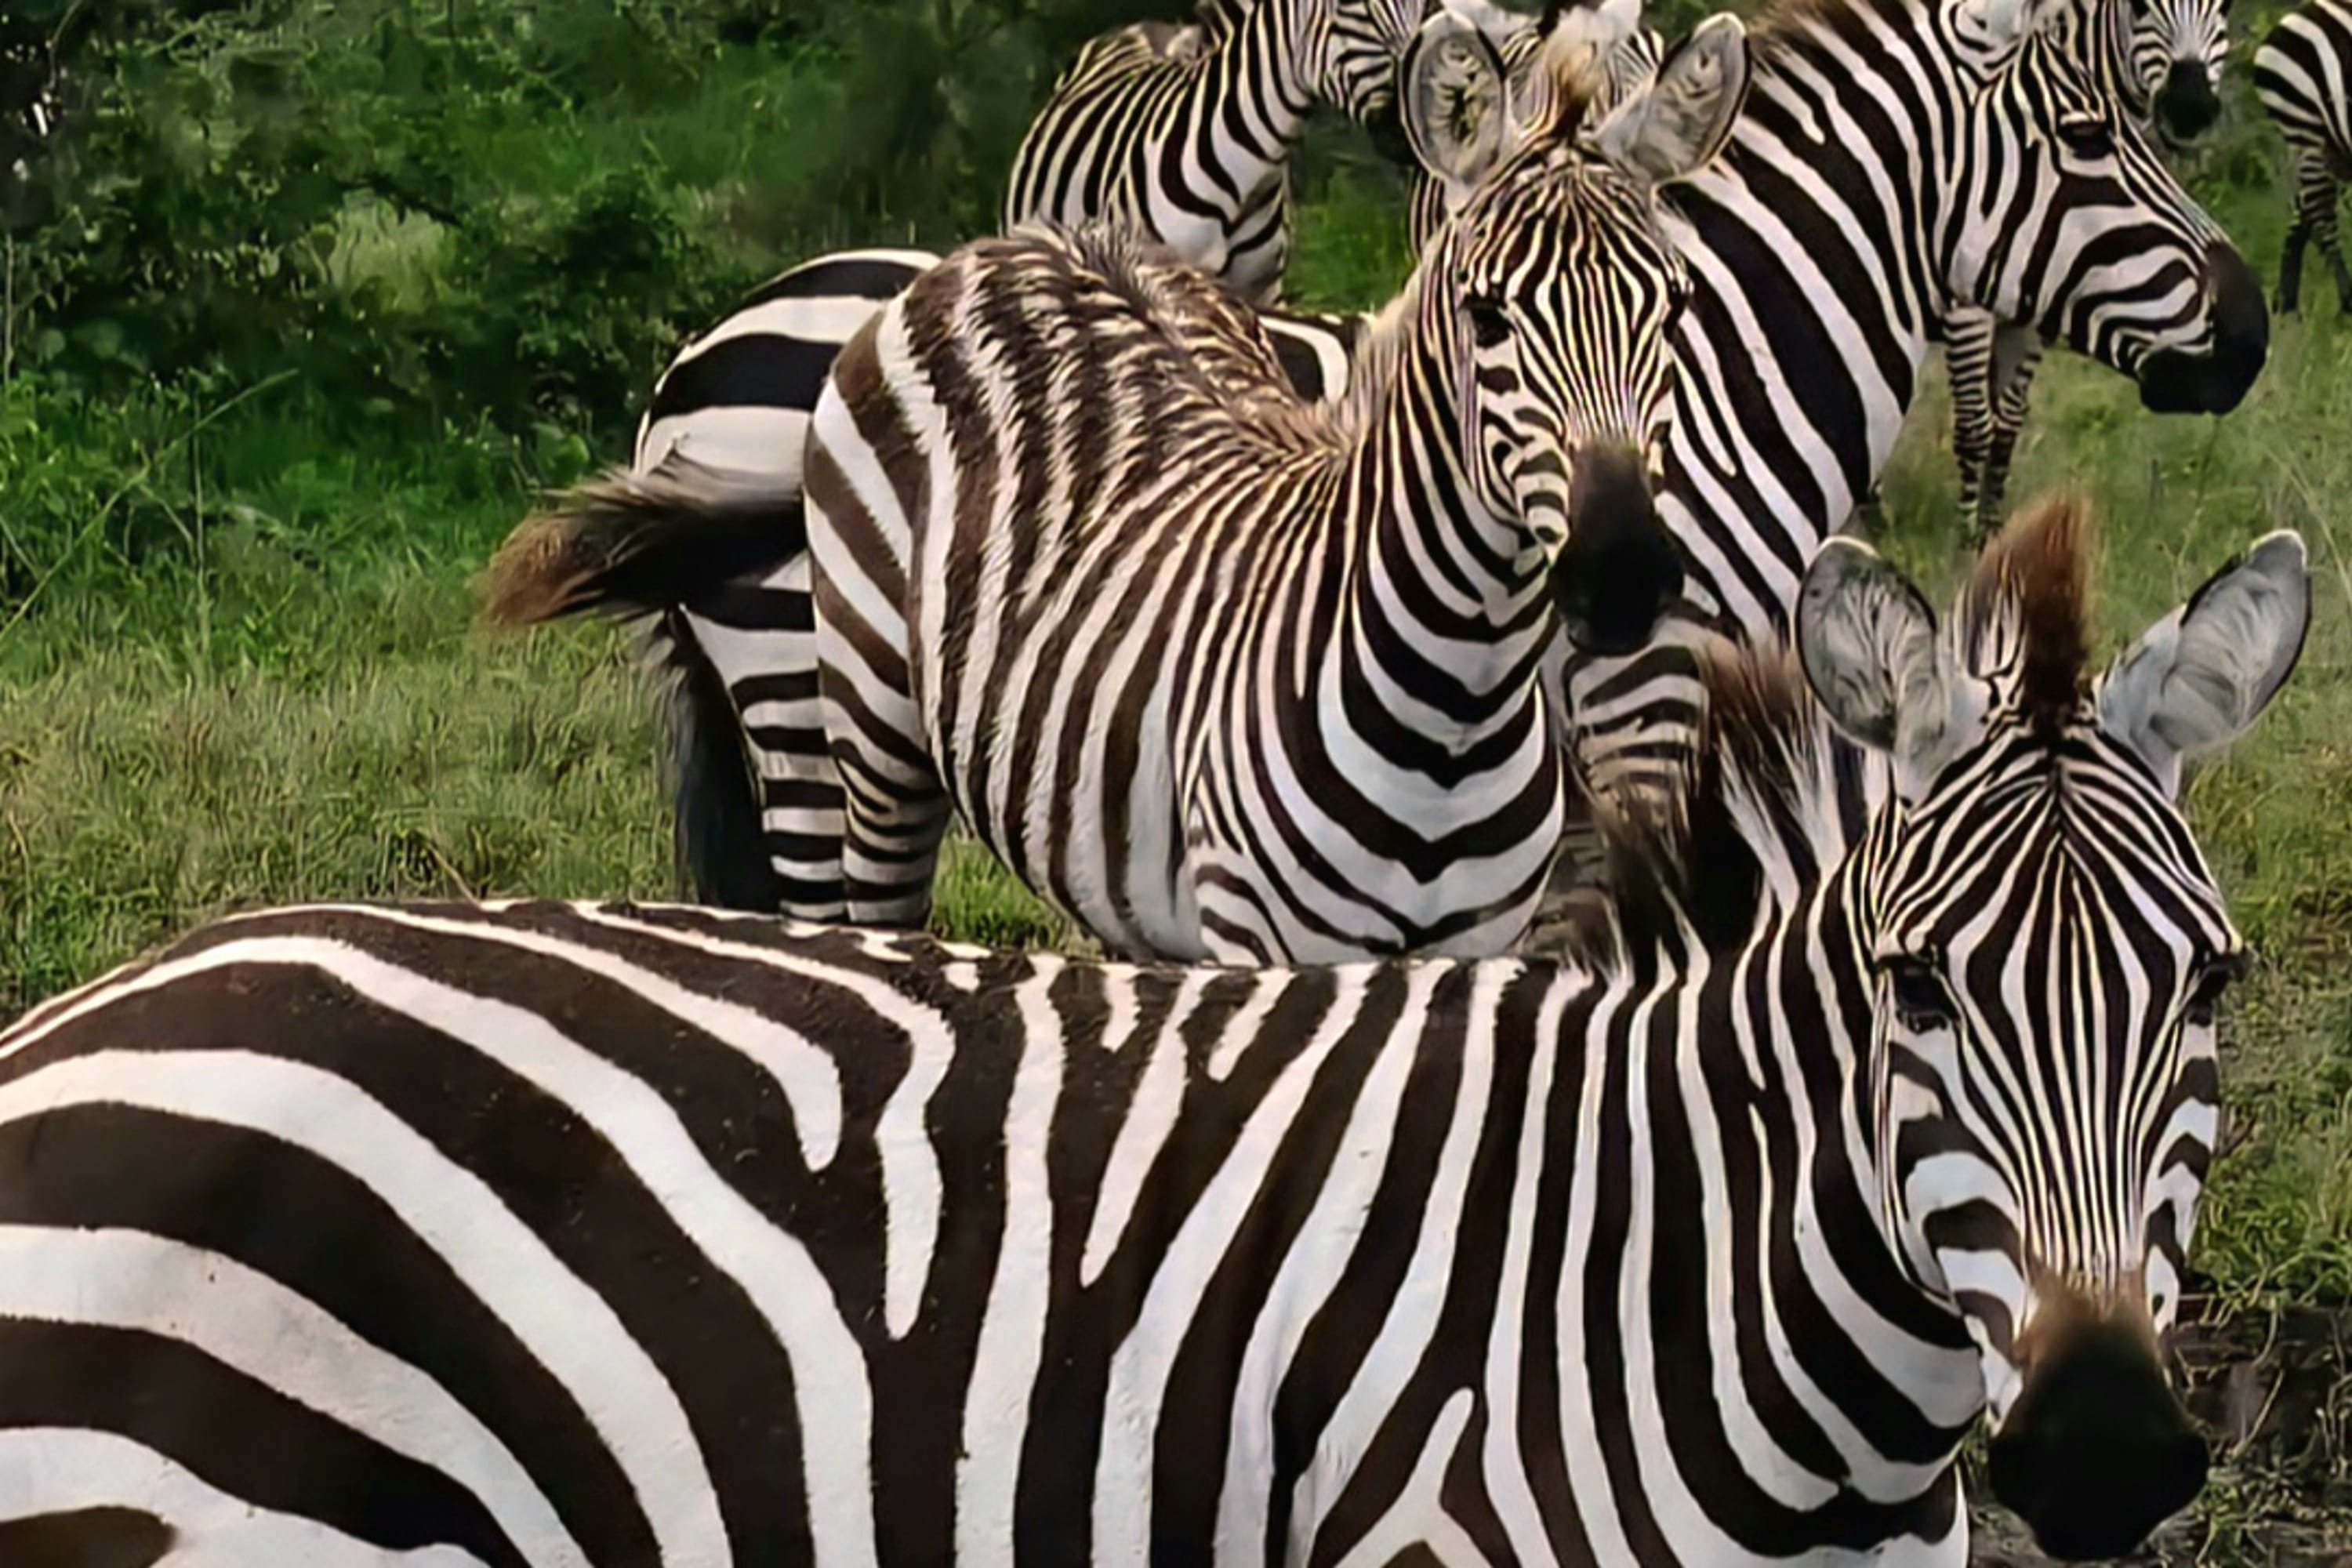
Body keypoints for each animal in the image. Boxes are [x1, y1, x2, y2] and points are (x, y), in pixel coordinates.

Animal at [1937, 0, 2235, 534]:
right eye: (2138, 7)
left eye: (2226, 6)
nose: (2190, 108)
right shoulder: (1965, 300)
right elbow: (1974, 426)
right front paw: (1968, 542)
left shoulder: (2037, 310)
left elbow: (2007, 421)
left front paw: (1993, 530)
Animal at [2255, 0, 2352, 315]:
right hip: (2308, 132)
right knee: (2322, 218)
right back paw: (2346, 303)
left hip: (2330, 149)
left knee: (2305, 209)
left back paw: (2285, 304)